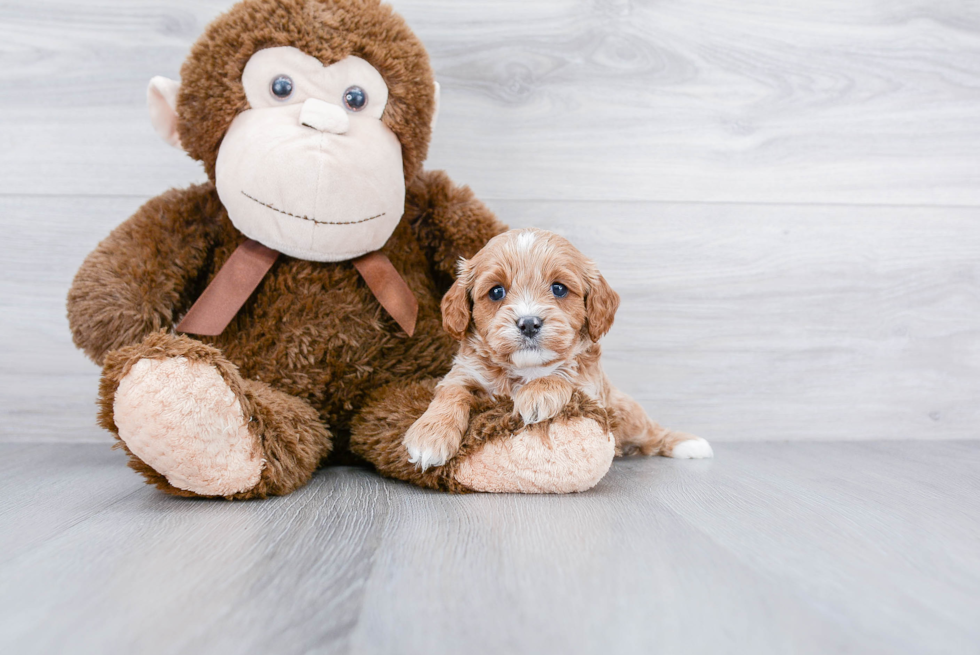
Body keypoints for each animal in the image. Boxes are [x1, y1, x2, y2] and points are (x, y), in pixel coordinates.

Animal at [400, 228, 712, 468]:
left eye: (559, 288)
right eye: (496, 291)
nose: (528, 323)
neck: (526, 369)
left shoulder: (590, 386)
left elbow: (563, 374)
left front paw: (537, 395)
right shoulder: (464, 373)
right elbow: (451, 393)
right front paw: (430, 437)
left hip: (627, 413)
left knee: (652, 432)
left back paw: (689, 444)